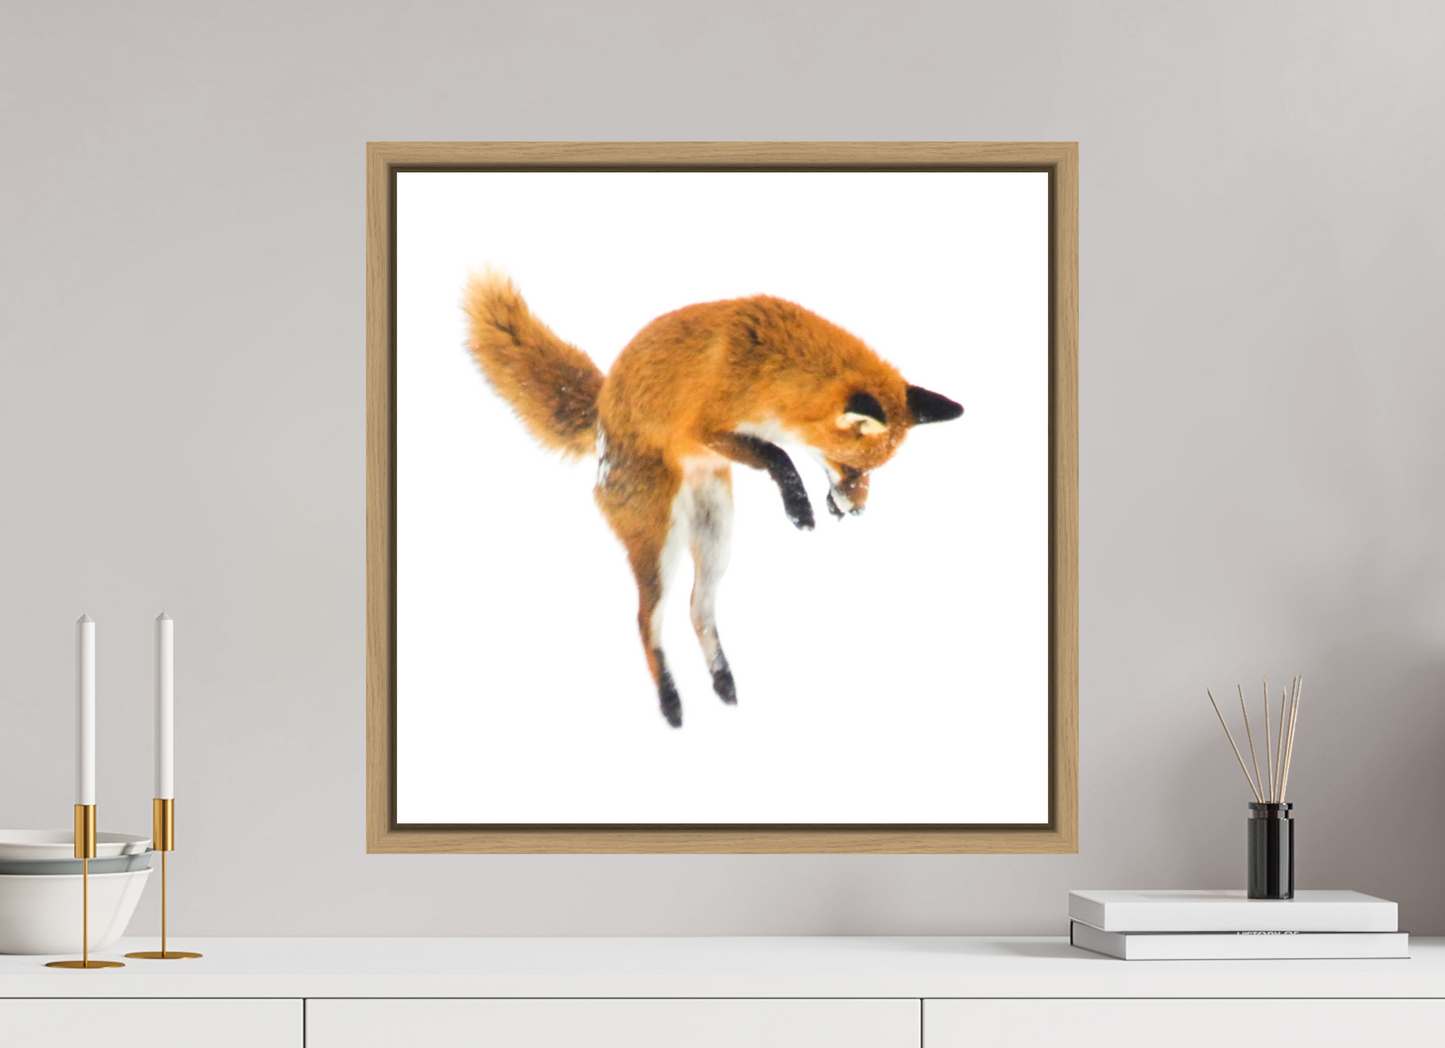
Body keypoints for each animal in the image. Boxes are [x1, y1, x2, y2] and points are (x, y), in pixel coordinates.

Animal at [462, 269, 963, 728]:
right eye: (854, 469)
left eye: (871, 474)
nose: (858, 511)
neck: (773, 366)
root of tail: (601, 412)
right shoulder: (707, 428)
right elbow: (778, 455)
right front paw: (798, 507)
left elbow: (779, 454)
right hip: (661, 543)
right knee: (645, 620)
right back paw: (670, 701)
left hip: (717, 536)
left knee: (697, 609)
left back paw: (722, 679)